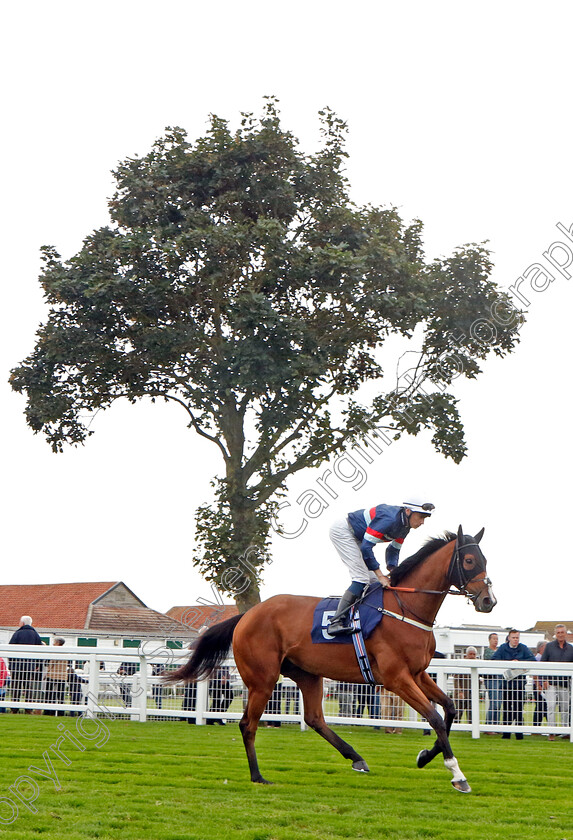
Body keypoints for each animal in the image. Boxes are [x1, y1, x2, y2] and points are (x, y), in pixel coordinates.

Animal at [164, 524, 492, 796]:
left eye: (485, 560)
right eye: (469, 561)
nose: (489, 601)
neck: (406, 609)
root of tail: (246, 615)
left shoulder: (418, 673)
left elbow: (450, 710)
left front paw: (425, 756)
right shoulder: (396, 678)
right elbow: (434, 717)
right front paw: (457, 775)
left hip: (307, 674)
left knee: (314, 718)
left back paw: (356, 758)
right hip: (263, 679)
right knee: (248, 724)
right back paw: (258, 776)